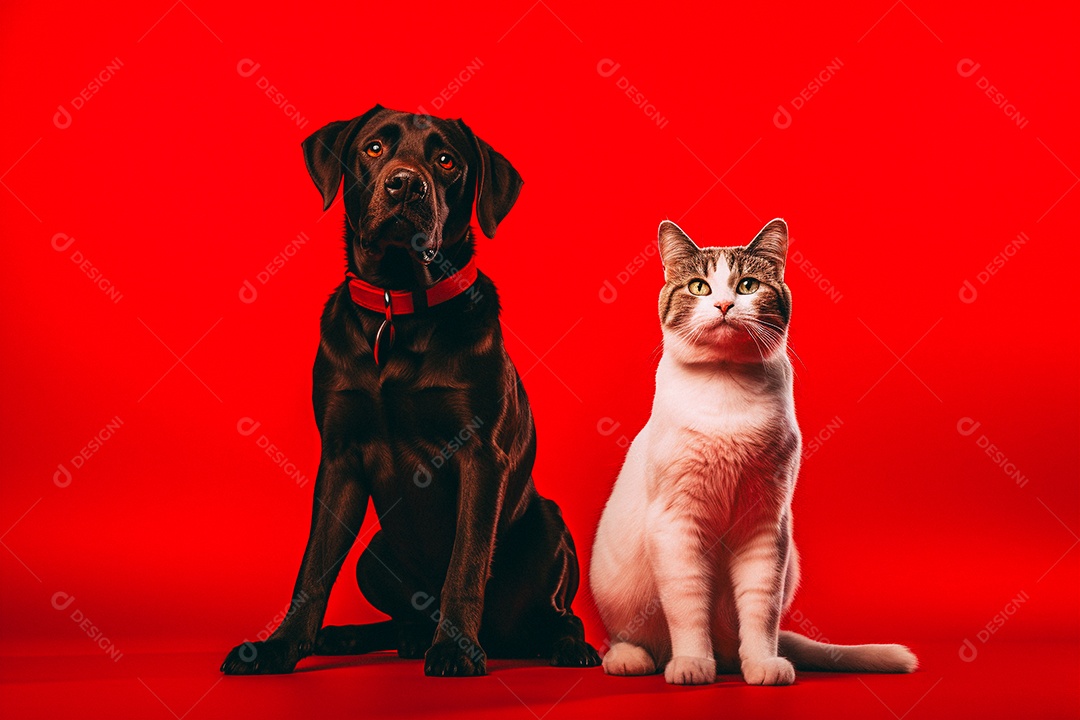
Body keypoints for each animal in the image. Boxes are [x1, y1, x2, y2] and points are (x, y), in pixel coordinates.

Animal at [218, 105, 600, 677]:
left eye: (446, 161)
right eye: (374, 148)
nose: (405, 186)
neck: (397, 306)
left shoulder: (480, 455)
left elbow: (466, 560)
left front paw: (455, 650)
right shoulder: (340, 455)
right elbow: (312, 569)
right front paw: (280, 647)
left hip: (549, 525)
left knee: (558, 616)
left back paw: (562, 646)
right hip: (373, 554)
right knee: (402, 621)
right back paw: (359, 637)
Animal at [591, 220, 920, 686]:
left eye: (747, 285)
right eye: (699, 286)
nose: (725, 304)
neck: (728, 390)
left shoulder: (767, 523)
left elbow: (760, 608)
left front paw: (763, 665)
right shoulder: (677, 524)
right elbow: (688, 608)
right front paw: (692, 664)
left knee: (744, 639)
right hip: (617, 589)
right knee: (633, 637)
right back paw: (632, 659)